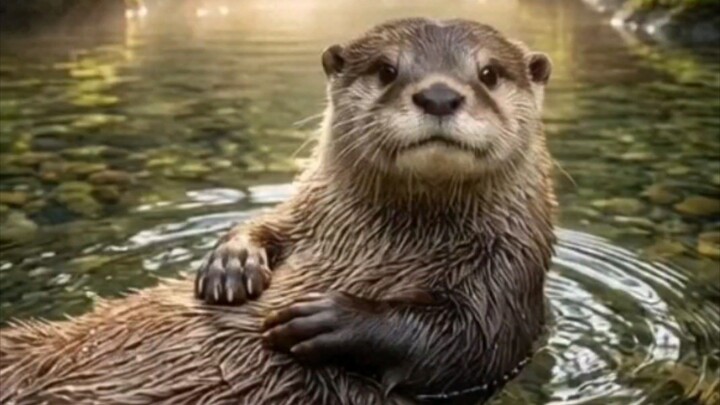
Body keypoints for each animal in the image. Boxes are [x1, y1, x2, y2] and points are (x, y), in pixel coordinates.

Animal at [0, 18, 556, 405]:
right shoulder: (305, 216)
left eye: (489, 73)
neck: (393, 240)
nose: (439, 94)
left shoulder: (508, 282)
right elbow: (268, 224)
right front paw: (231, 265)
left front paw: (329, 318)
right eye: (386, 70)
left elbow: (469, 341)